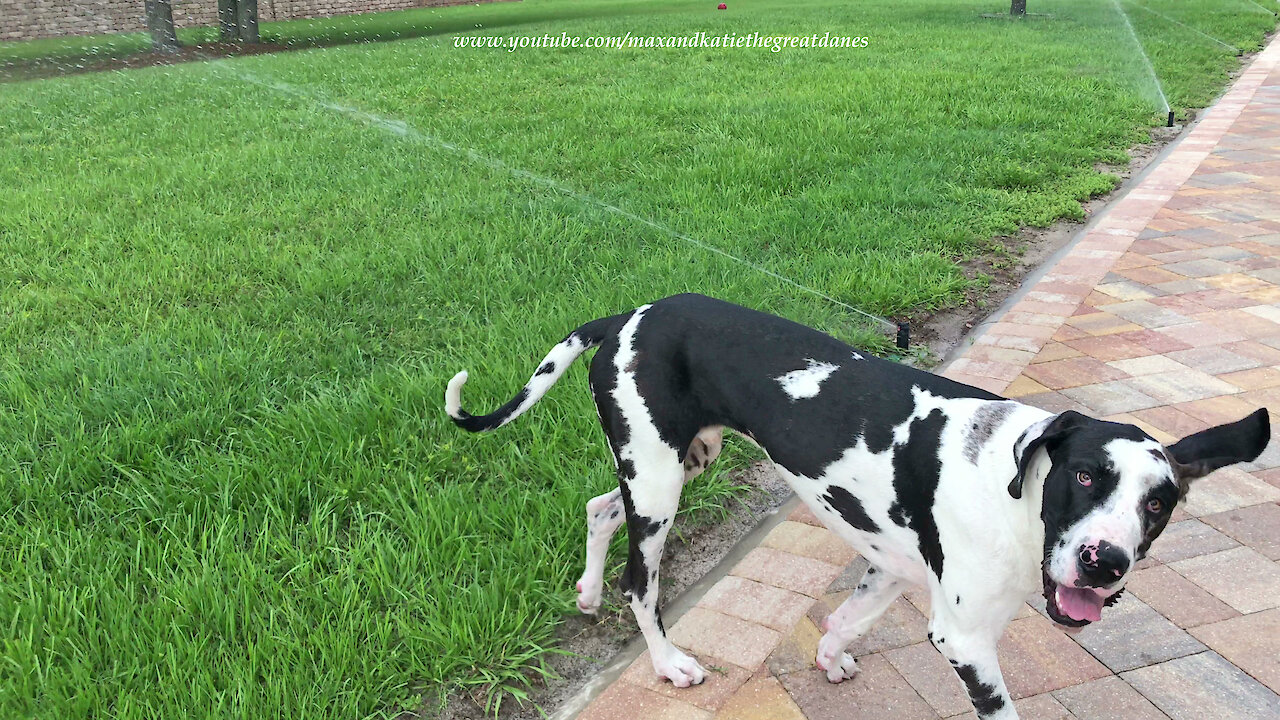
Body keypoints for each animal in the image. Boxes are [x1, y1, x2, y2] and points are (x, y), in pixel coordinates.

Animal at [445, 293, 1264, 717]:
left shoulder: (893, 569)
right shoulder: (965, 641)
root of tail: (626, 318)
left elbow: (846, 618)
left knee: (597, 509)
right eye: (1088, 477)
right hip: (658, 487)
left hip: (670, 469)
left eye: (1158, 505)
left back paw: (585, 592)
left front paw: (831, 655)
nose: (1104, 563)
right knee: (638, 584)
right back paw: (668, 661)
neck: (1007, 478)